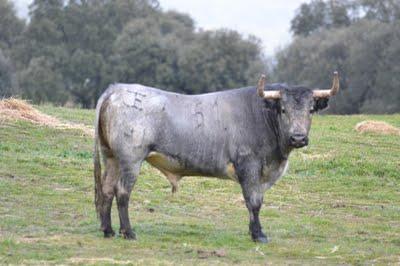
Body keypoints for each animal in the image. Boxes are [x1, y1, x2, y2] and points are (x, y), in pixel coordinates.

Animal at [94, 71, 340, 242]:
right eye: (283, 109)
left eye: (310, 110)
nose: (298, 138)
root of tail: (116, 89)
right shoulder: (249, 166)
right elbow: (254, 202)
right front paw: (258, 235)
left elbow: (255, 201)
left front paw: (254, 231)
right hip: (131, 160)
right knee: (122, 192)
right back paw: (128, 232)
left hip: (111, 158)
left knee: (106, 190)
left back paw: (108, 230)